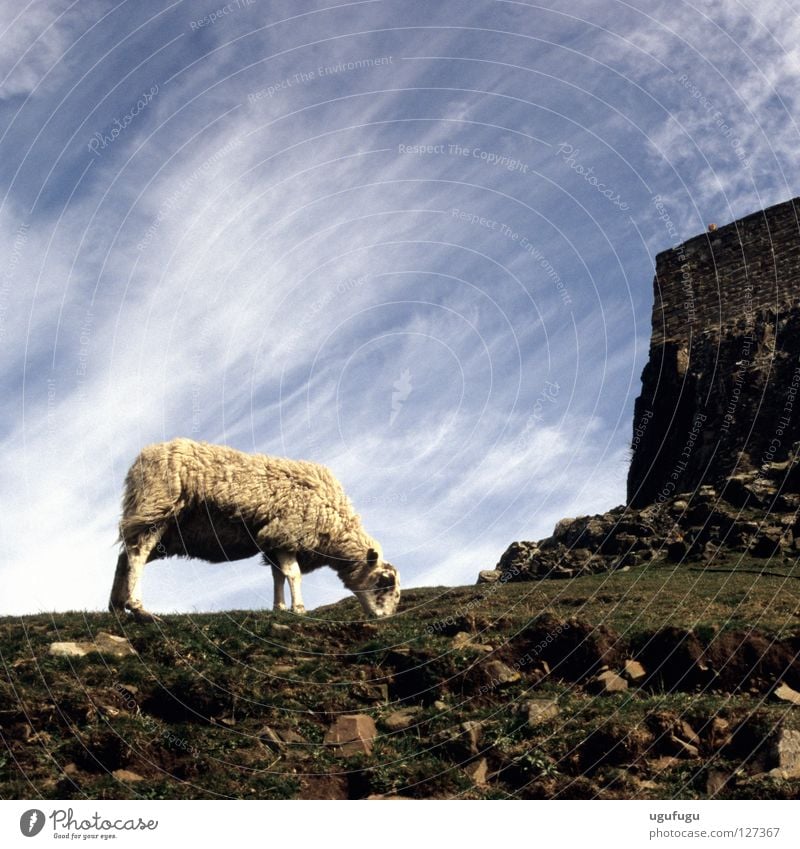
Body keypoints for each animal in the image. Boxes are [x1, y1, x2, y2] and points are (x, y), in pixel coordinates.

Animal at [108, 440, 400, 620]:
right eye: (383, 583)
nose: (382, 618)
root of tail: (141, 460)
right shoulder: (288, 531)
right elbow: (293, 574)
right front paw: (299, 609)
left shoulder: (275, 541)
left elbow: (278, 576)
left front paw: (279, 608)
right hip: (157, 508)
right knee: (137, 555)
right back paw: (139, 608)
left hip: (167, 531)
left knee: (126, 556)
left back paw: (116, 607)